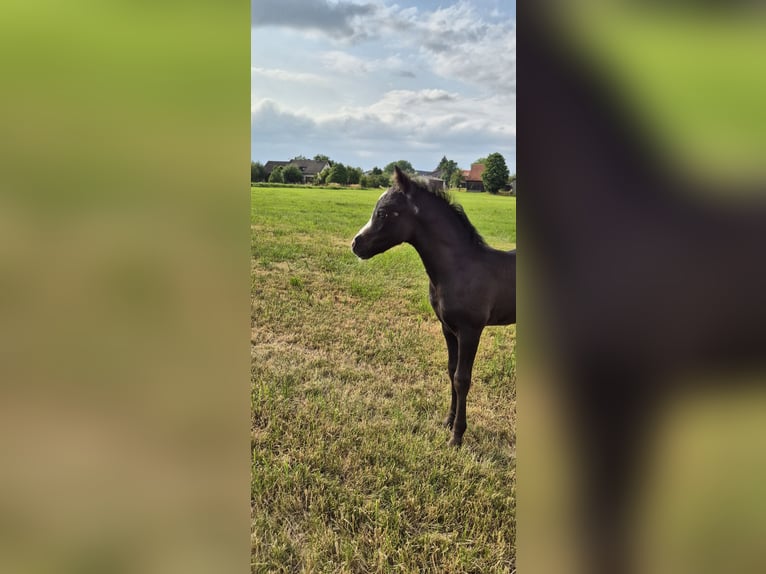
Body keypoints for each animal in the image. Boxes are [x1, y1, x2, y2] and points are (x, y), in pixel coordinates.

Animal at [351, 166, 516, 447]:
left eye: (383, 212)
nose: (355, 244)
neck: (460, 269)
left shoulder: (471, 331)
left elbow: (462, 379)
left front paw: (457, 436)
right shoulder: (448, 328)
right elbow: (451, 371)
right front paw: (447, 422)